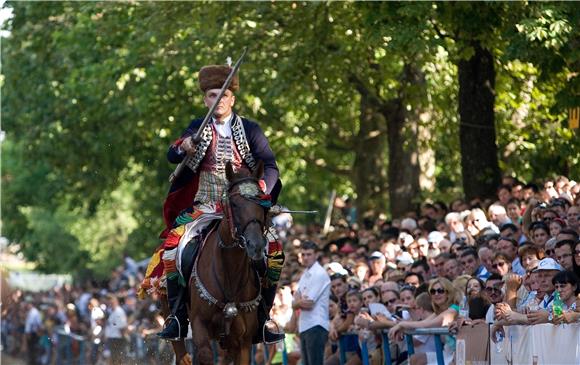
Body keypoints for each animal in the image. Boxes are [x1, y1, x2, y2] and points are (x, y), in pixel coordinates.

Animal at [169, 163, 266, 364]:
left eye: (261, 203)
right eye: (234, 204)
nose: (256, 246)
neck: (230, 272)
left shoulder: (243, 341)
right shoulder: (200, 326)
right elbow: (204, 354)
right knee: (181, 352)